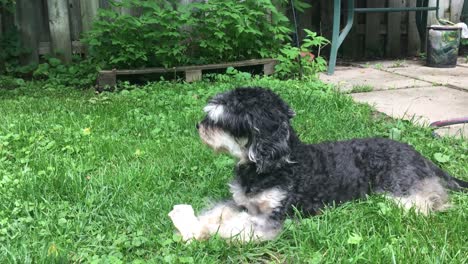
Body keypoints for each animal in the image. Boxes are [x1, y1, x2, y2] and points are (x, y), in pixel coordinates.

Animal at [168, 87, 468, 243]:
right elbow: (218, 212)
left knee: (429, 202)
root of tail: (420, 155)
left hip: (399, 191)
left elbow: (231, 226)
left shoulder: (274, 217)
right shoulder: (240, 202)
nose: (198, 126)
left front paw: (198, 231)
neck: (272, 167)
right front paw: (193, 222)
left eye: (223, 121)